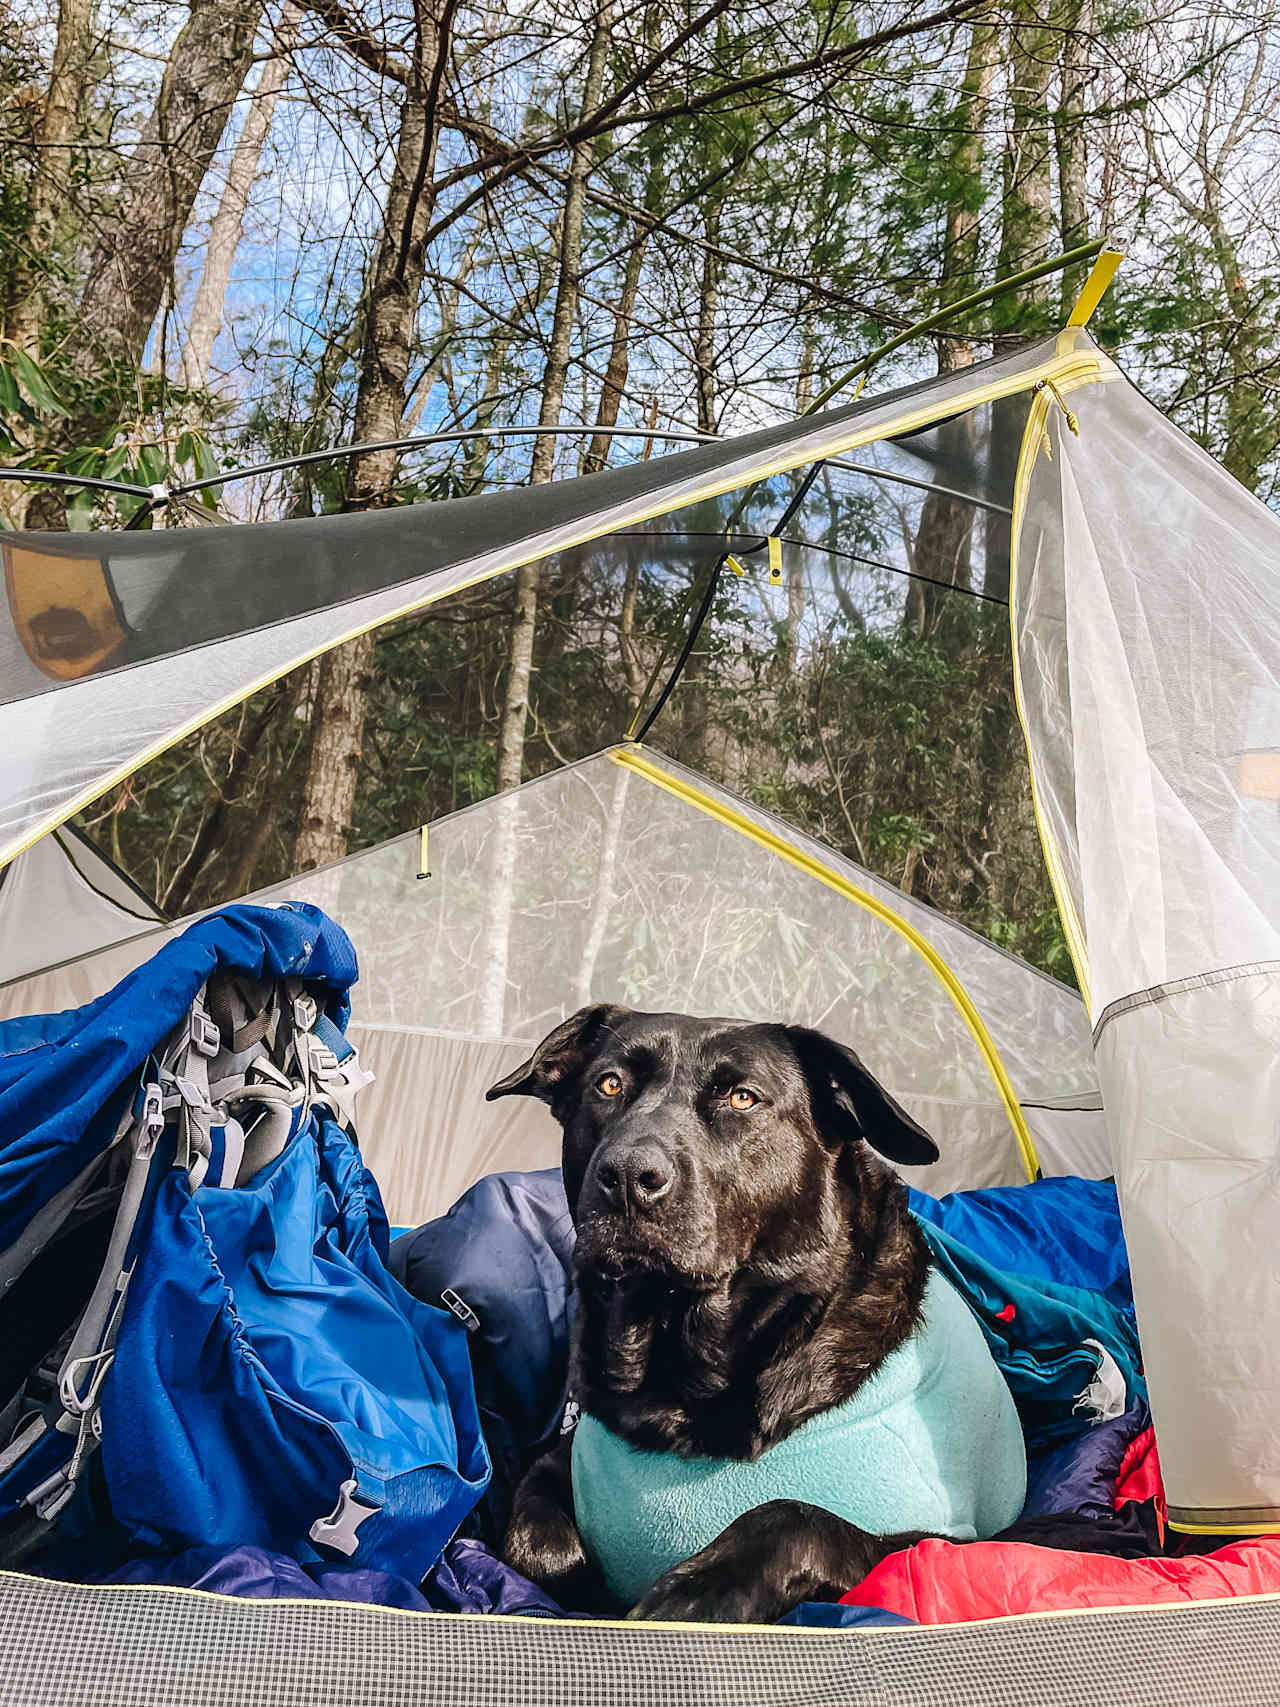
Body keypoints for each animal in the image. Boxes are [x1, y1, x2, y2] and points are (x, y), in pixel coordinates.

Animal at [484, 1003, 969, 1618]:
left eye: (742, 1098)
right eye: (609, 1084)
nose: (629, 1178)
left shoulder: (945, 1542)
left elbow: (795, 1515)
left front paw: (693, 1593)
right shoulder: (560, 1459)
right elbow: (536, 1543)